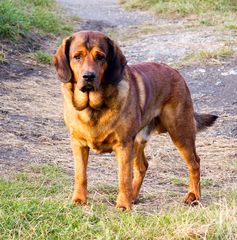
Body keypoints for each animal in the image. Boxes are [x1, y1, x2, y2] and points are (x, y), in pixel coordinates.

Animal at [52, 31, 218, 209]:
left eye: (100, 57)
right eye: (77, 57)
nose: (88, 76)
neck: (94, 108)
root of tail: (176, 72)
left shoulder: (124, 145)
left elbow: (124, 177)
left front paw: (123, 205)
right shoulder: (78, 144)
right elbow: (80, 175)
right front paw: (79, 200)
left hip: (180, 132)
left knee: (195, 163)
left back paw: (193, 196)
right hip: (139, 140)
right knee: (143, 167)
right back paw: (133, 195)